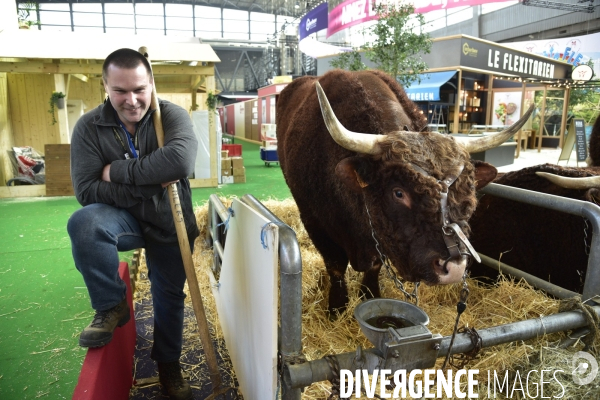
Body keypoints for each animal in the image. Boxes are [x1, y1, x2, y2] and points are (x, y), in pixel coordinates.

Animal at [276, 69, 536, 312]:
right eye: (399, 193)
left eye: (468, 192)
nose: (454, 268)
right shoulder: (315, 223)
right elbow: (336, 267)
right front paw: (337, 307)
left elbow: (374, 266)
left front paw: (370, 294)